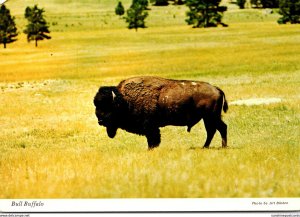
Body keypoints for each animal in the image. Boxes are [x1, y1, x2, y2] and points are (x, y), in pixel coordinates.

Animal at [94, 76, 227, 149]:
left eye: (108, 107)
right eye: (96, 106)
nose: (100, 121)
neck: (124, 100)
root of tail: (216, 89)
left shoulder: (150, 127)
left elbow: (153, 139)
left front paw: (150, 149)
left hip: (211, 117)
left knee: (219, 128)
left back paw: (221, 146)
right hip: (208, 118)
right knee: (213, 130)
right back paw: (206, 146)